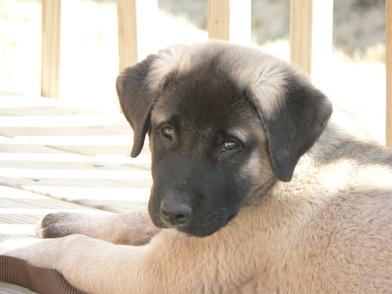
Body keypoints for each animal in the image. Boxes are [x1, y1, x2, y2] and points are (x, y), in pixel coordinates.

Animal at [3, 41, 392, 294]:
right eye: (167, 132)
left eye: (230, 145)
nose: (174, 212)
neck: (278, 180)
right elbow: (135, 218)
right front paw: (69, 222)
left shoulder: (157, 272)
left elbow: (76, 249)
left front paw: (18, 250)